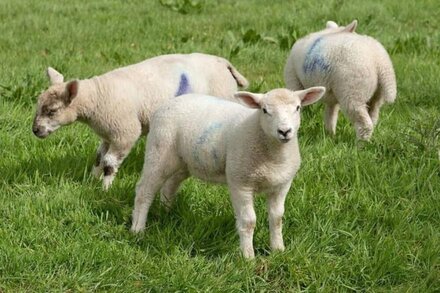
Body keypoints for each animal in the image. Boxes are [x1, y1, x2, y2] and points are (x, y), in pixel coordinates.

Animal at [31, 52, 248, 189]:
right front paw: (91, 179)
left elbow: (109, 163)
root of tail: (223, 62)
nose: (35, 131)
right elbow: (99, 157)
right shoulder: (108, 135)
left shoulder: (125, 132)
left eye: (52, 111)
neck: (98, 96)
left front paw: (105, 188)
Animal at [129, 85, 324, 256]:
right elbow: (249, 221)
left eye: (297, 108)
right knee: (144, 191)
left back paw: (167, 212)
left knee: (170, 185)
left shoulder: (282, 185)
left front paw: (278, 250)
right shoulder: (240, 183)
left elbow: (277, 219)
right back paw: (137, 229)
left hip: (183, 161)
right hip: (159, 151)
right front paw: (248, 257)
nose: (284, 131)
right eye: (264, 110)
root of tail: (169, 103)